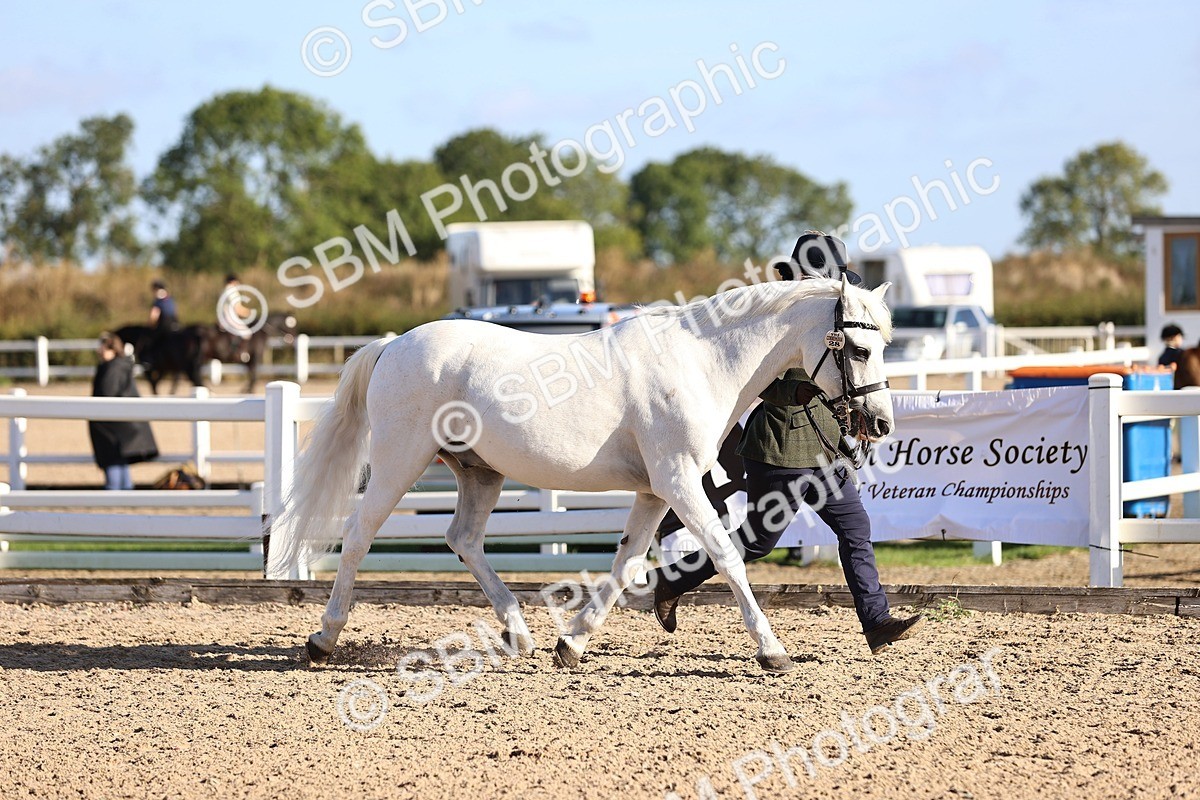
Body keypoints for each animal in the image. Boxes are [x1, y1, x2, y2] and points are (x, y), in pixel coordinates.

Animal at [273, 276, 894, 673]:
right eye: (859, 349)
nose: (881, 423)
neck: (702, 361)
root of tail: (392, 344)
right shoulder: (679, 483)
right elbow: (727, 556)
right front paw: (772, 651)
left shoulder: (654, 491)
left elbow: (626, 564)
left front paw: (571, 644)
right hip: (400, 461)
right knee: (358, 535)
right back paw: (323, 639)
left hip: (480, 474)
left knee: (463, 539)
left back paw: (518, 633)